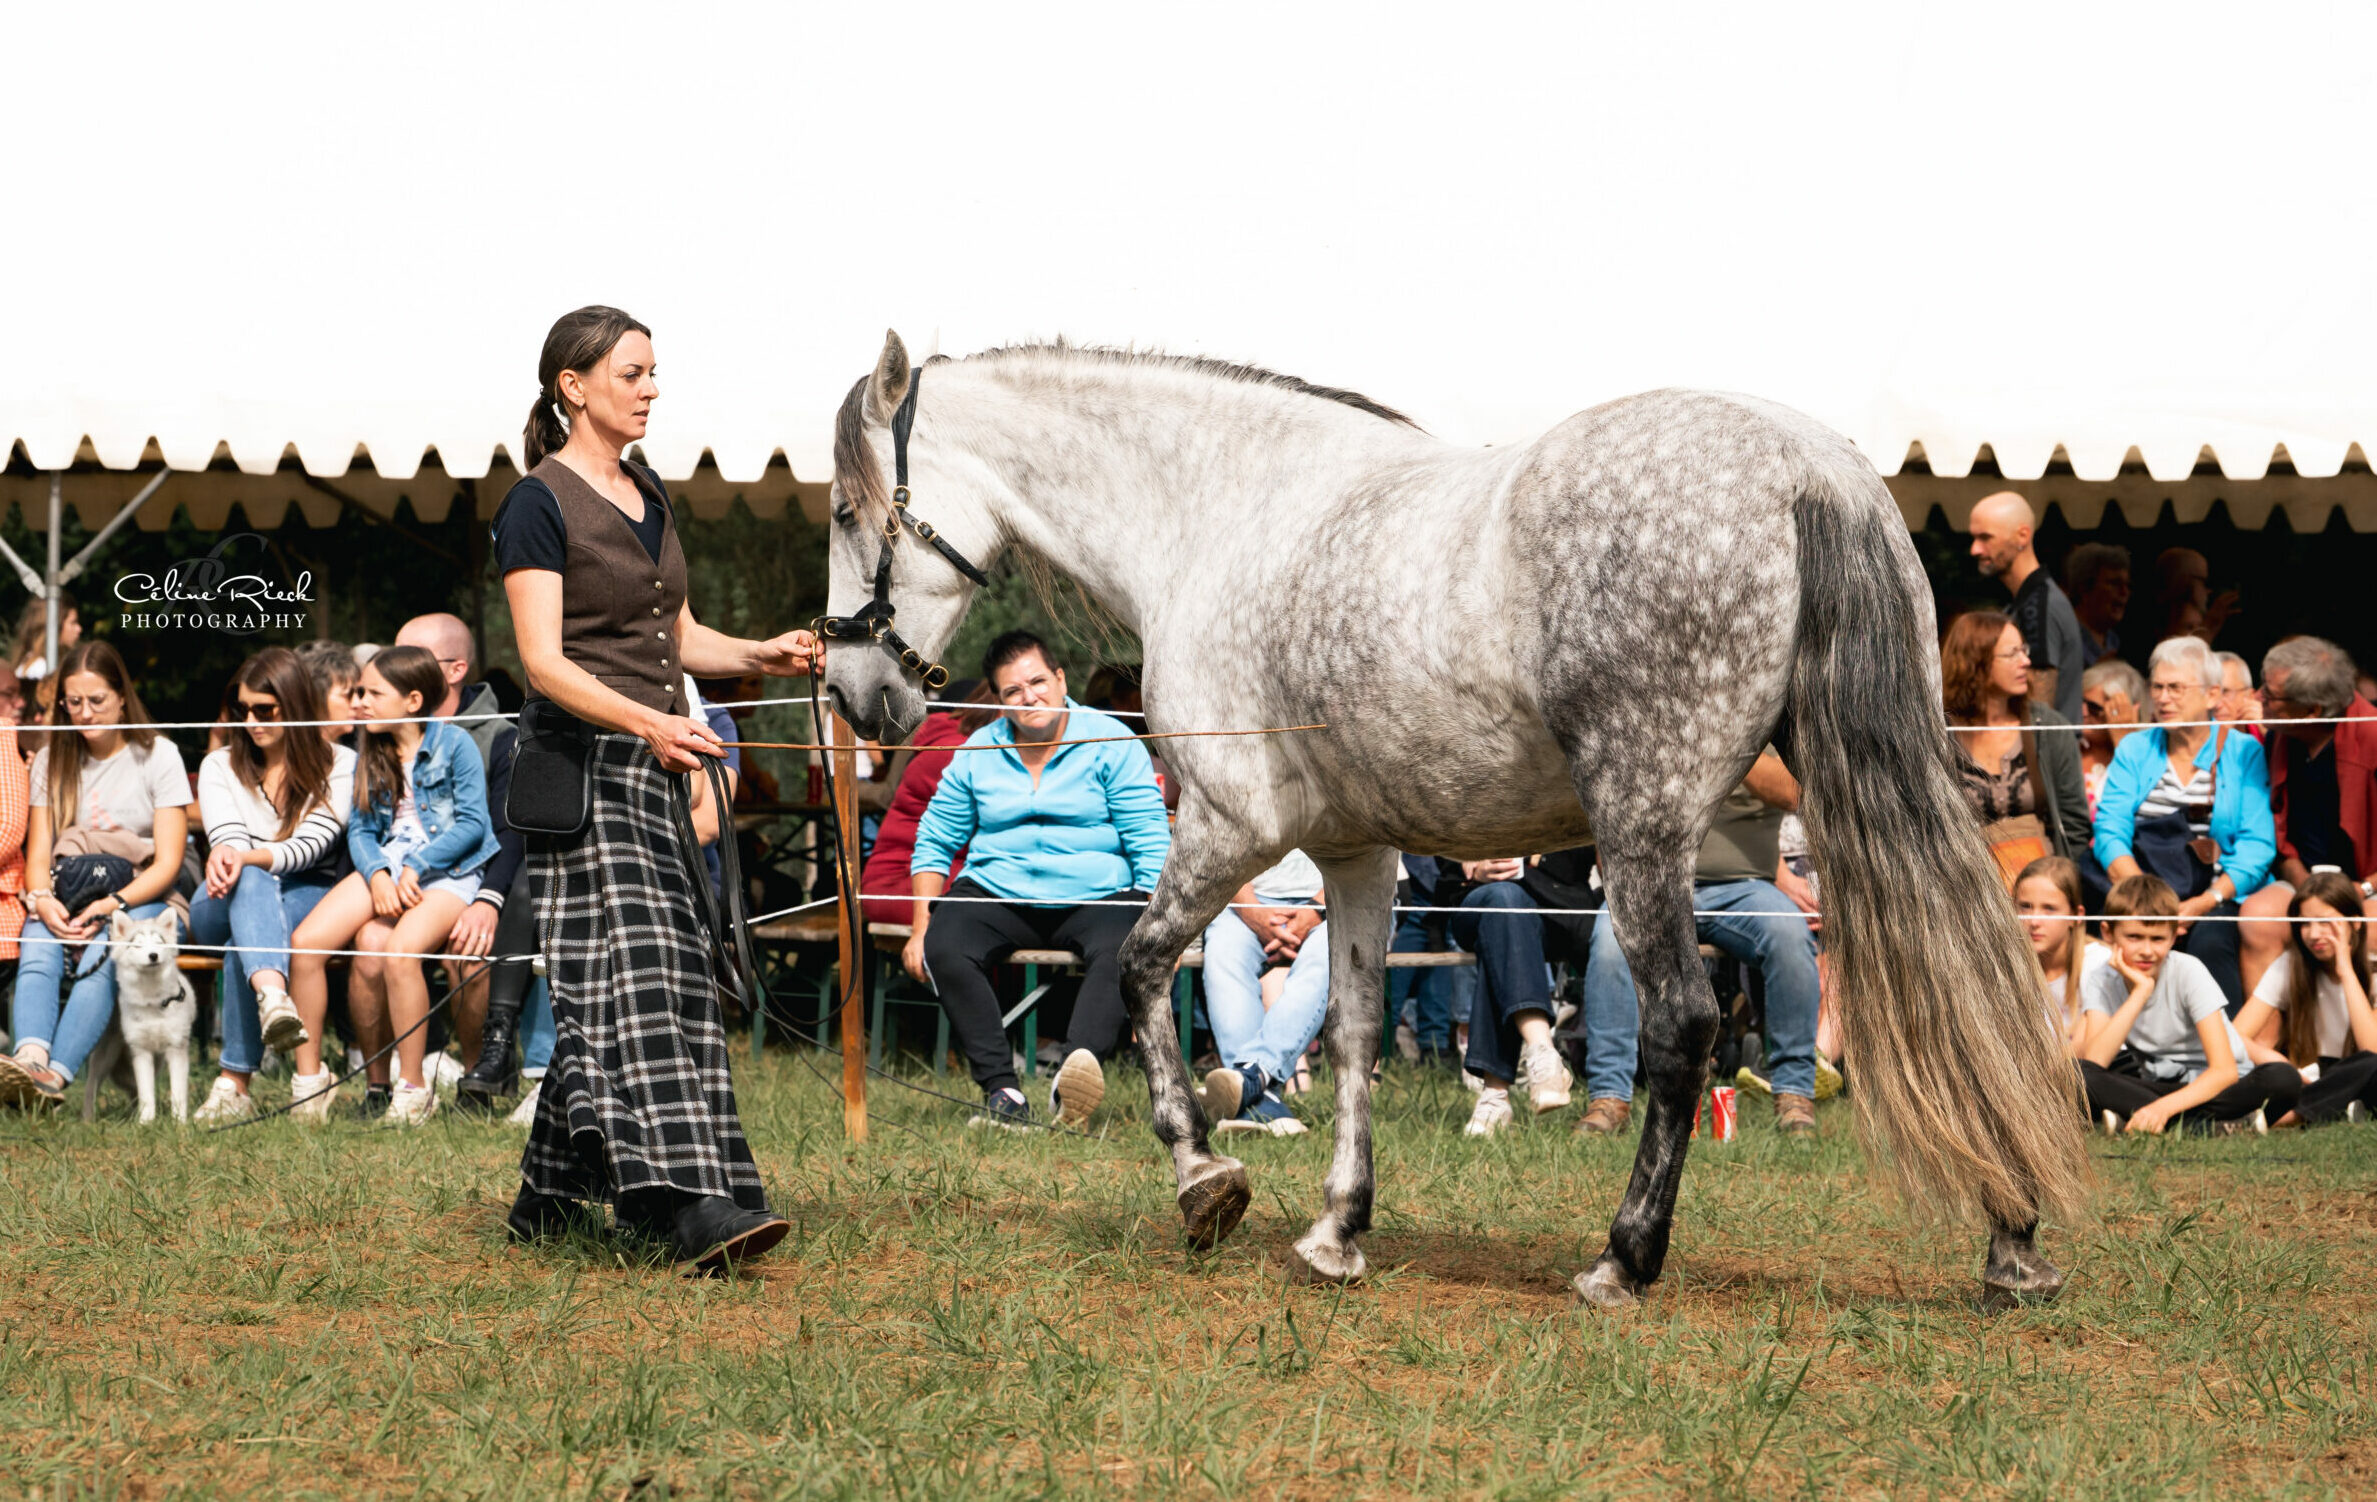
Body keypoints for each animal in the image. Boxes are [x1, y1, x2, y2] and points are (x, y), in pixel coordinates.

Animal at [820, 332, 2089, 1309]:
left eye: (842, 508)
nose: (850, 691)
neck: (1223, 516)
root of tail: (1805, 463)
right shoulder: (1355, 853)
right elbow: (1352, 1031)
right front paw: (1337, 1230)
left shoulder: (1229, 826)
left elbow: (1136, 968)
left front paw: (1203, 1180)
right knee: (1963, 980)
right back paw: (2013, 1239)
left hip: (1642, 833)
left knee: (1682, 1023)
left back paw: (1622, 1260)